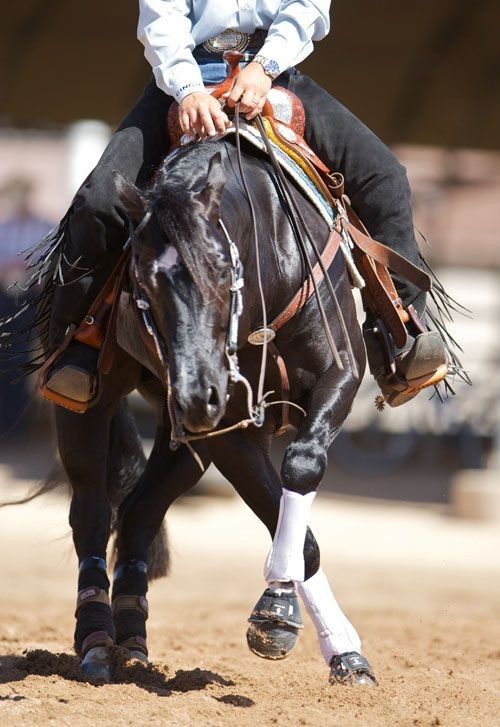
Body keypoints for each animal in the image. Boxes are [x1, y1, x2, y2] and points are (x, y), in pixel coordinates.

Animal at [21, 134, 378, 684]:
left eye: (222, 269)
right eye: (141, 286)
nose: (196, 393)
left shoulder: (339, 372)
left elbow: (300, 469)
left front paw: (341, 650)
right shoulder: (229, 428)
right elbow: (293, 529)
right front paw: (277, 614)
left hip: (184, 442)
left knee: (139, 511)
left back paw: (132, 635)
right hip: (87, 408)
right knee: (92, 510)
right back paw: (97, 639)